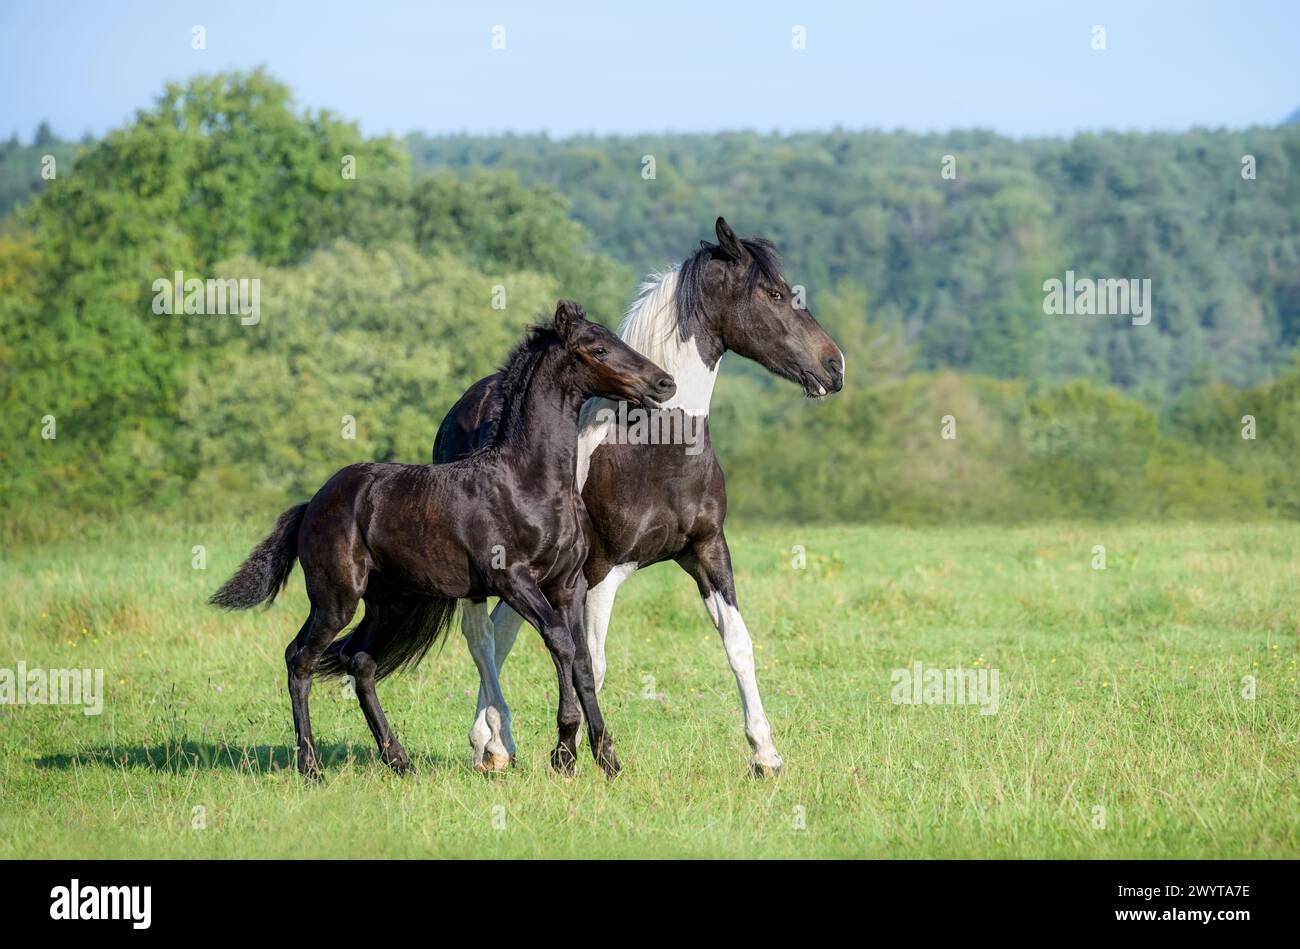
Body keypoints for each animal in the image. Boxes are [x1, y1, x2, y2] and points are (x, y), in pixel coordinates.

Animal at [209, 301, 676, 780]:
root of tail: (312, 504)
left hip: (389, 603)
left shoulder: (568, 584)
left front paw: (605, 757)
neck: (528, 482)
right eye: (598, 348)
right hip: (336, 598)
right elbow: (560, 643)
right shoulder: (514, 582)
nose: (664, 383)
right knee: (300, 659)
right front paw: (565, 752)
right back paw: (312, 766)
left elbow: (581, 660)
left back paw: (398, 759)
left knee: (359, 661)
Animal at [434, 218, 845, 775]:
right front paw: (576, 753)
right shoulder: (597, 572)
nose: (834, 366)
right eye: (776, 294)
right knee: (482, 636)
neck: (652, 448)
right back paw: (493, 741)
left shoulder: (707, 551)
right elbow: (590, 660)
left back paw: (494, 744)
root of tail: (464, 405)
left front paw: (765, 754)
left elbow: (738, 644)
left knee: (501, 634)